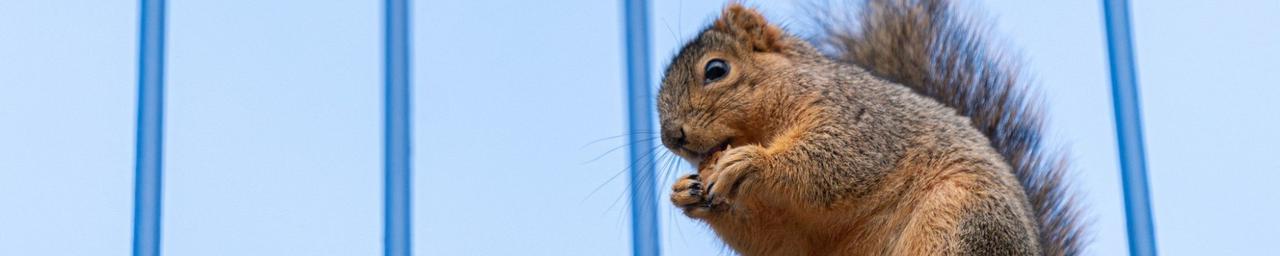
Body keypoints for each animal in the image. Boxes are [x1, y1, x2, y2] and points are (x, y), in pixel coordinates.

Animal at [660, 1, 1090, 254]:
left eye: (716, 69)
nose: (671, 137)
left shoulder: (861, 119)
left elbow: (836, 160)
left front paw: (751, 163)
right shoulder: (803, 236)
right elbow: (781, 238)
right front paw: (688, 193)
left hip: (963, 223)